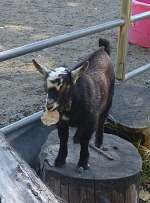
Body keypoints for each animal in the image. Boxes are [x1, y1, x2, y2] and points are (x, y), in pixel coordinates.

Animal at [32, 38, 115, 171]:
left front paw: (82, 163)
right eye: (45, 86)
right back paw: (76, 137)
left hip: (109, 98)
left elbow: (85, 141)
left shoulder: (90, 121)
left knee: (103, 118)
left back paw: (98, 142)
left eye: (64, 87)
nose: (49, 105)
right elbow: (63, 139)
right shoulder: (61, 123)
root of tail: (103, 49)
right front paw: (60, 160)